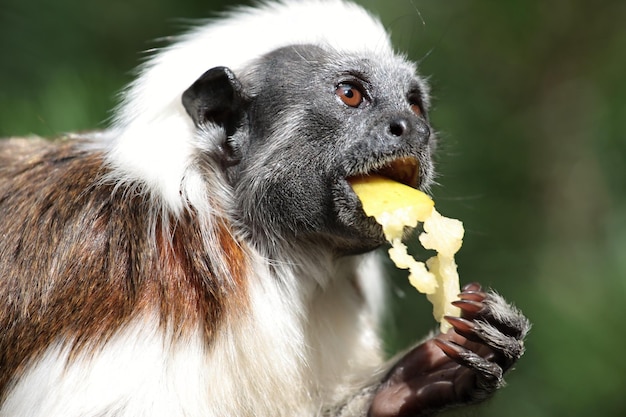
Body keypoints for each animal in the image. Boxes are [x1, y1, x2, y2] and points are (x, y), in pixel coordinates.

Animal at [0, 0, 528, 416]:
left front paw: (418, 378)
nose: (413, 128)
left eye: (415, 105)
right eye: (351, 94)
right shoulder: (137, 282)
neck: (255, 243)